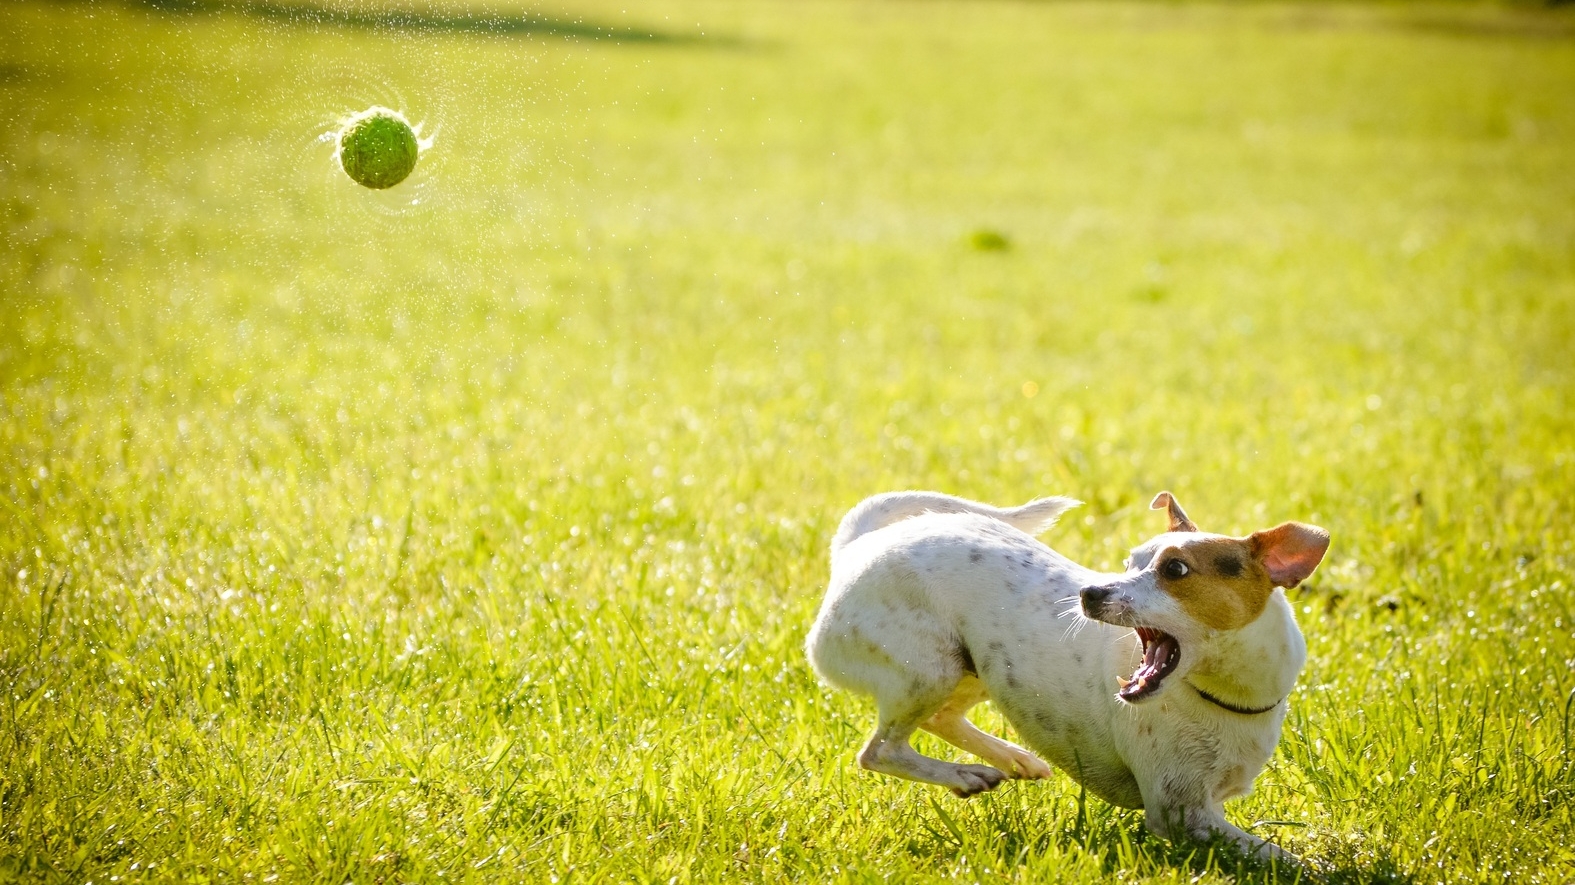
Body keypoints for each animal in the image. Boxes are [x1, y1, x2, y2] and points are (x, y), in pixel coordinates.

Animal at [806, 485, 1335, 856]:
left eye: (1176, 570)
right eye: (1130, 562)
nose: (1091, 593)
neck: (1222, 695)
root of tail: (856, 546)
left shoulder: (1206, 806)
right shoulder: (1181, 814)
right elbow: (1280, 857)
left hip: (977, 668)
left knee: (940, 718)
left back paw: (1009, 759)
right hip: (929, 668)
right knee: (880, 751)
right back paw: (965, 774)